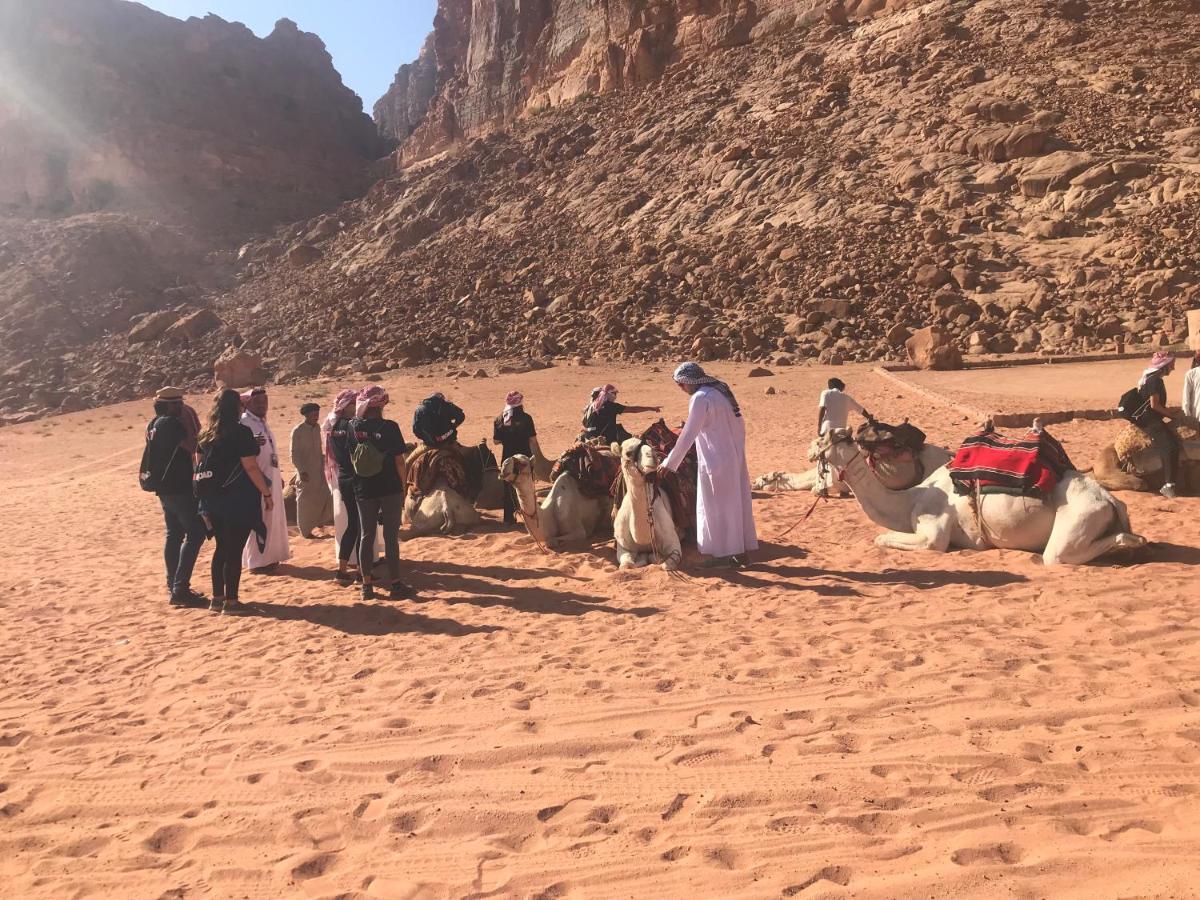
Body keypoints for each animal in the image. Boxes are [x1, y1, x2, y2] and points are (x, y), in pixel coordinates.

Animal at [614, 436, 681, 571]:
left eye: (649, 445)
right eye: (628, 453)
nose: (653, 456)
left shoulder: (673, 541)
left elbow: (667, 564)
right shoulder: (623, 545)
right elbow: (626, 565)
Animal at [816, 427, 1142, 566]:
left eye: (820, 441)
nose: (811, 450)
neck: (909, 499)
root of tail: (1111, 501)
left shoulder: (934, 531)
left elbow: (883, 538)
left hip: (1078, 520)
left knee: (1059, 555)